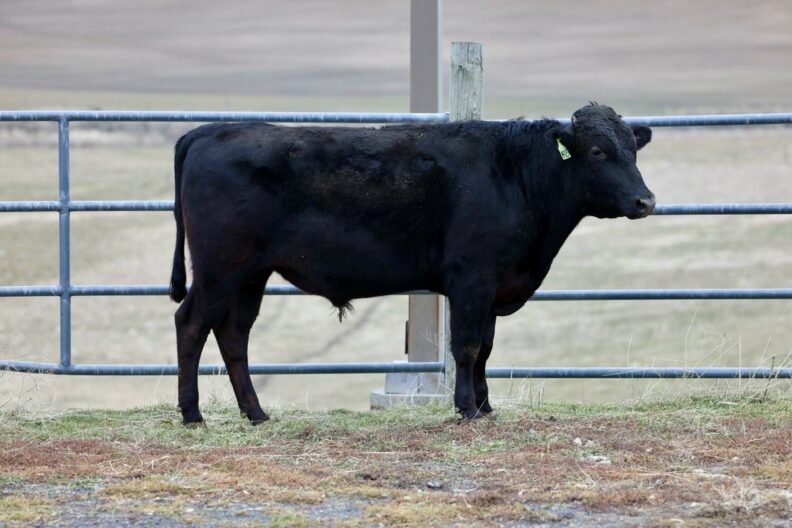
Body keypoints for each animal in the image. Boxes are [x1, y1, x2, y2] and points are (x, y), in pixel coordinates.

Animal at [169, 103, 655, 425]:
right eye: (597, 151)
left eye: (633, 150)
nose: (645, 201)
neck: (514, 175)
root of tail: (209, 131)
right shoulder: (473, 280)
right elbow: (467, 347)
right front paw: (467, 409)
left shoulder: (493, 286)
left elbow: (486, 348)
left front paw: (485, 405)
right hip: (219, 270)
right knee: (191, 324)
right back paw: (193, 415)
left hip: (250, 276)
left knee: (234, 336)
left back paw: (256, 413)